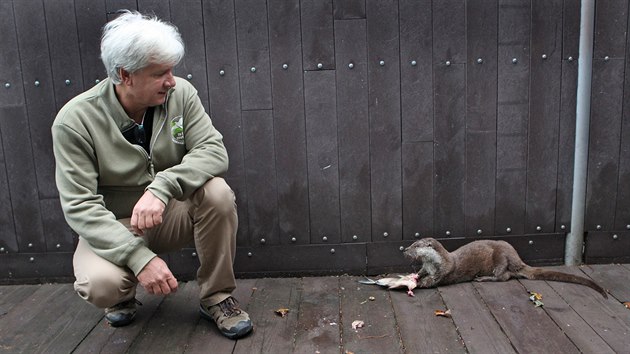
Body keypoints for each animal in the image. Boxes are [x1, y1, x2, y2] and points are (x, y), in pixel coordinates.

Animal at [408, 236, 608, 298]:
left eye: (415, 245)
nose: (404, 249)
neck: (436, 262)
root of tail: (516, 257)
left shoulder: (442, 271)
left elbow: (431, 281)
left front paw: (417, 284)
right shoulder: (426, 267)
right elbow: (421, 272)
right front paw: (414, 275)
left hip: (500, 258)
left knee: (503, 276)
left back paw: (483, 278)